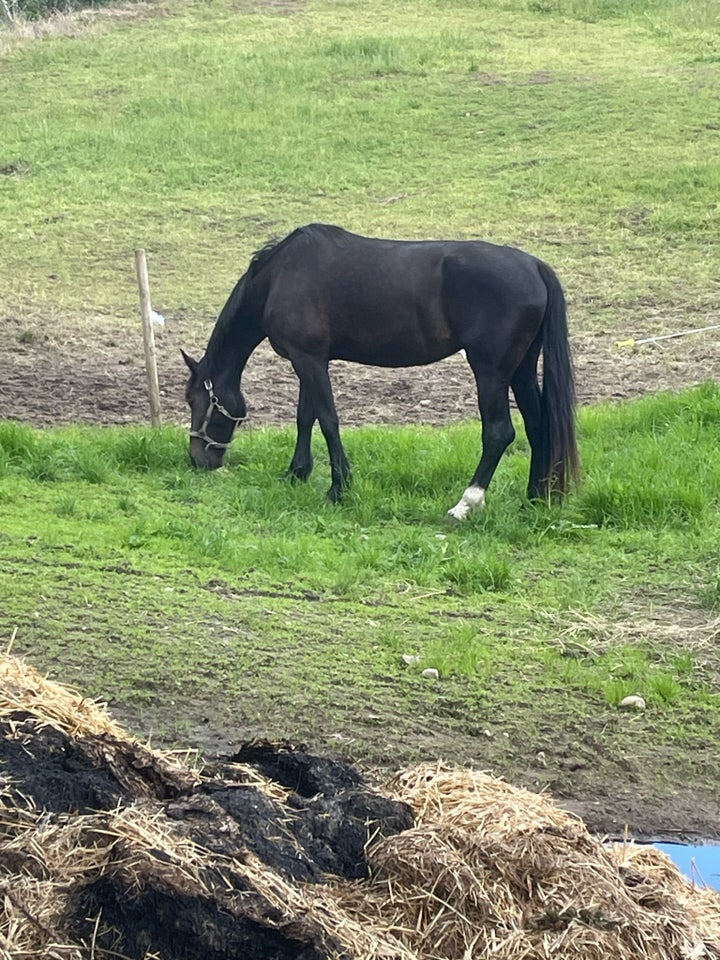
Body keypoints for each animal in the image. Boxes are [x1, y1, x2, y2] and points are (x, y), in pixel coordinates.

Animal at [181, 222, 580, 520]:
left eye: (194, 400)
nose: (198, 459)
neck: (281, 275)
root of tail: (534, 266)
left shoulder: (308, 359)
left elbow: (327, 420)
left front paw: (338, 487)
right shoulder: (309, 359)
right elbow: (306, 417)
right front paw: (297, 473)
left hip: (491, 373)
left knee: (499, 433)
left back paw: (465, 505)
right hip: (521, 370)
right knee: (538, 426)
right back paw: (534, 499)